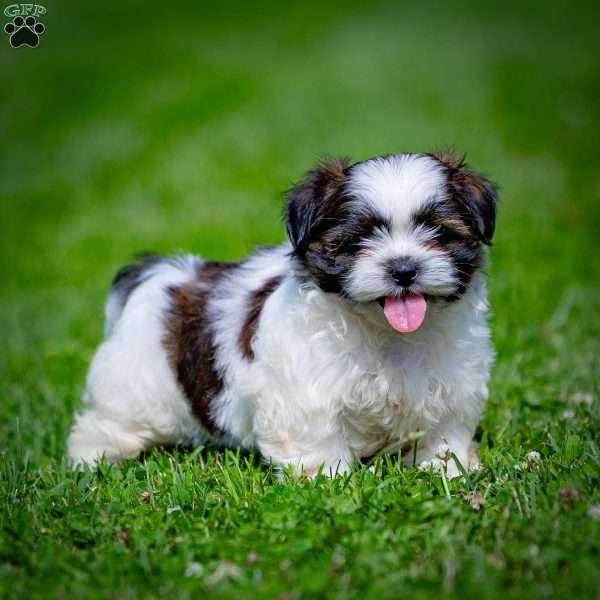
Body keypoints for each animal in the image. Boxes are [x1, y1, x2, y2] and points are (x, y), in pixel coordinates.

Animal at [68, 151, 496, 478]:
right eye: (358, 240)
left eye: (439, 233)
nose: (404, 269)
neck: (389, 335)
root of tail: (159, 273)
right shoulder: (307, 390)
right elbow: (316, 434)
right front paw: (329, 479)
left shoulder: (453, 383)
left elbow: (445, 430)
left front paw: (448, 469)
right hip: (138, 388)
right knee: (109, 422)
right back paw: (94, 456)